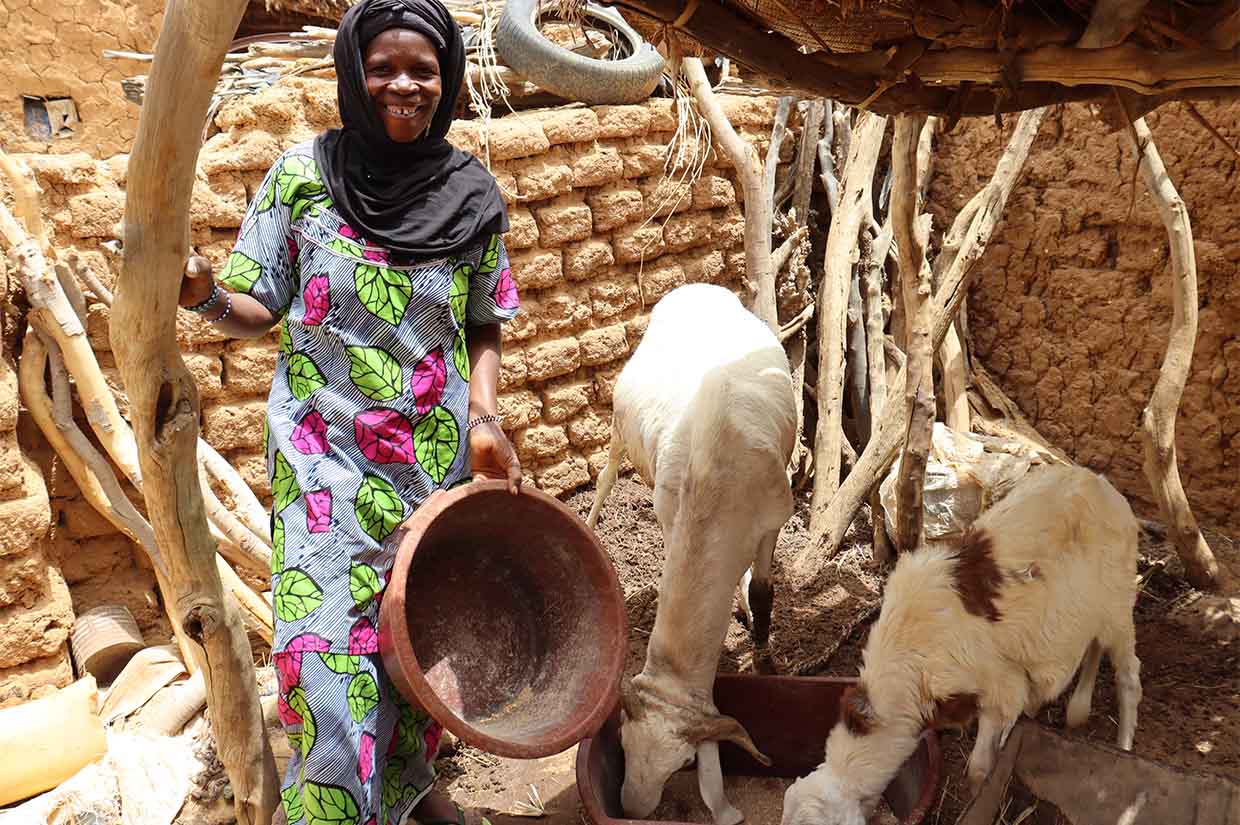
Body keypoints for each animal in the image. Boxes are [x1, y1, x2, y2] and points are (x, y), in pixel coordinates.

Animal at [587, 282, 793, 823]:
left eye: (682, 764)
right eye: (622, 742)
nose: (633, 808)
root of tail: (696, 286)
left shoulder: (773, 520)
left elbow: (764, 592)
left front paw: (763, 654)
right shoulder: (669, 513)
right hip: (619, 426)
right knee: (605, 475)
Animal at [783, 463, 1140, 823]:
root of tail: (1102, 484)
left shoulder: (1000, 688)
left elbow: (980, 769)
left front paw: (980, 799)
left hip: (1119, 603)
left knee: (1128, 677)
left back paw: (1124, 750)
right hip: (1090, 613)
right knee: (1093, 646)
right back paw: (1078, 710)